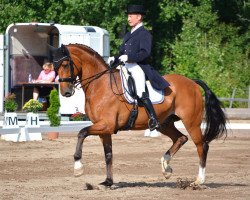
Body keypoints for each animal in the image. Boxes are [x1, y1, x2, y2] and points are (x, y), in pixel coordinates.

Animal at [52, 43, 227, 188]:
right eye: (55, 67)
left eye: (66, 64)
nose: (66, 92)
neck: (100, 85)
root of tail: (192, 82)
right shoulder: (104, 129)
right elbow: (108, 154)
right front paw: (108, 182)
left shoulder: (106, 125)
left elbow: (81, 133)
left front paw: (78, 168)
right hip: (164, 123)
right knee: (180, 138)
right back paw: (166, 168)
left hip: (191, 122)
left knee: (201, 146)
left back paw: (198, 181)